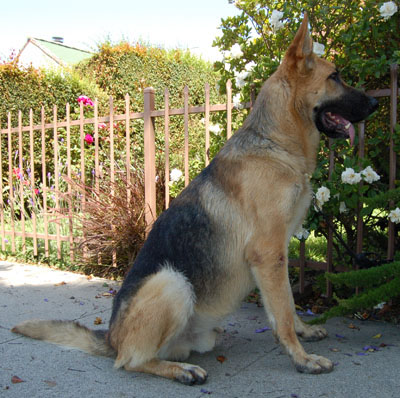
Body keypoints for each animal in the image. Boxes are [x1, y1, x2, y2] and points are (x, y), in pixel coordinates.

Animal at [11, 15, 378, 386]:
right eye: (335, 77)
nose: (376, 105)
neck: (275, 143)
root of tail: (110, 338)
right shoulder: (267, 254)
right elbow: (283, 312)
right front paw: (302, 359)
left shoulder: (279, 254)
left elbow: (287, 303)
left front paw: (304, 332)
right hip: (171, 283)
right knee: (130, 361)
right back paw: (180, 371)